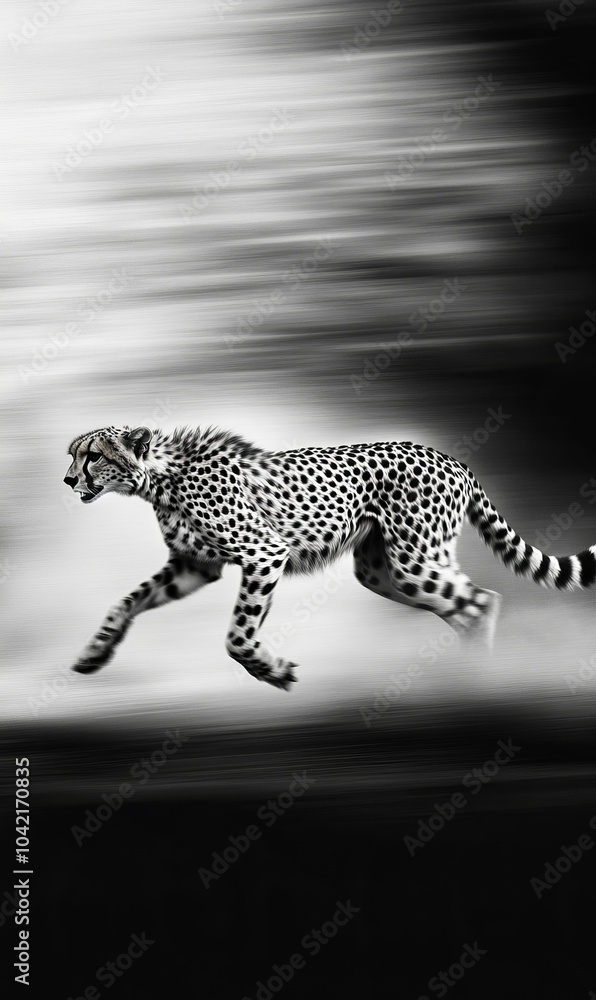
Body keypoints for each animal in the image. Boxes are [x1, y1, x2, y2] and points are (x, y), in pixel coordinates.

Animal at [64, 424, 596, 690]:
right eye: (74, 454)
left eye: (93, 456)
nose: (68, 480)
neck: (160, 477)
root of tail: (452, 458)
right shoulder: (195, 567)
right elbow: (127, 601)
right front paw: (95, 653)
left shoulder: (265, 553)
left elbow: (238, 635)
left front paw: (272, 670)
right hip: (383, 572)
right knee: (463, 606)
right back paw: (467, 678)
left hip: (413, 562)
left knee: (482, 600)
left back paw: (485, 680)